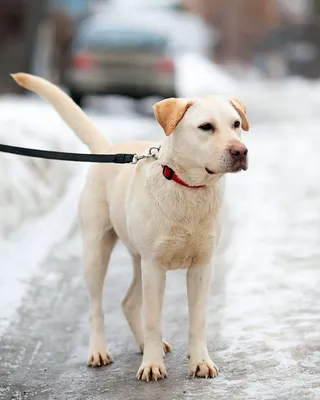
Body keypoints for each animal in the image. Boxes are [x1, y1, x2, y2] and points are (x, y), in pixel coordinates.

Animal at [11, 73, 250, 382]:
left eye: (236, 124)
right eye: (206, 127)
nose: (240, 151)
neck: (188, 188)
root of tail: (107, 150)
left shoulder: (201, 266)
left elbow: (197, 320)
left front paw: (200, 361)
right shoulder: (155, 267)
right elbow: (153, 320)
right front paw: (152, 365)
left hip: (139, 260)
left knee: (128, 302)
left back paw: (146, 345)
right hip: (98, 252)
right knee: (97, 306)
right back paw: (100, 351)